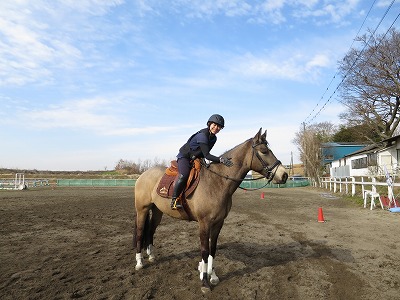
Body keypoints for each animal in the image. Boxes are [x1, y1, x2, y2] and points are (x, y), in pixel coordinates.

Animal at [134, 127, 288, 292]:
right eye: (264, 151)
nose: (284, 175)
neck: (217, 182)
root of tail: (143, 175)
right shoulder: (204, 223)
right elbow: (205, 250)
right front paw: (204, 281)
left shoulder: (218, 223)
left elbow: (212, 249)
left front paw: (212, 275)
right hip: (142, 210)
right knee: (140, 232)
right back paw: (139, 262)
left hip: (157, 211)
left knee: (150, 231)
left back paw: (151, 256)